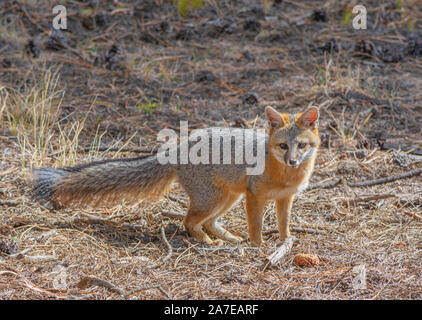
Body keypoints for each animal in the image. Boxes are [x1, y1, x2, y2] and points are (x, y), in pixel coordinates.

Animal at [33, 106, 320, 246]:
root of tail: (180, 146)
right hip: (214, 199)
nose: (293, 161)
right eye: (283, 146)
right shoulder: (254, 196)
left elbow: (284, 225)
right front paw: (258, 248)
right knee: (189, 222)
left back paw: (225, 238)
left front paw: (284, 243)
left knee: (208, 222)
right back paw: (208, 242)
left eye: (301, 146)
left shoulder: (285, 198)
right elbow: (256, 226)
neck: (285, 176)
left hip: (228, 198)